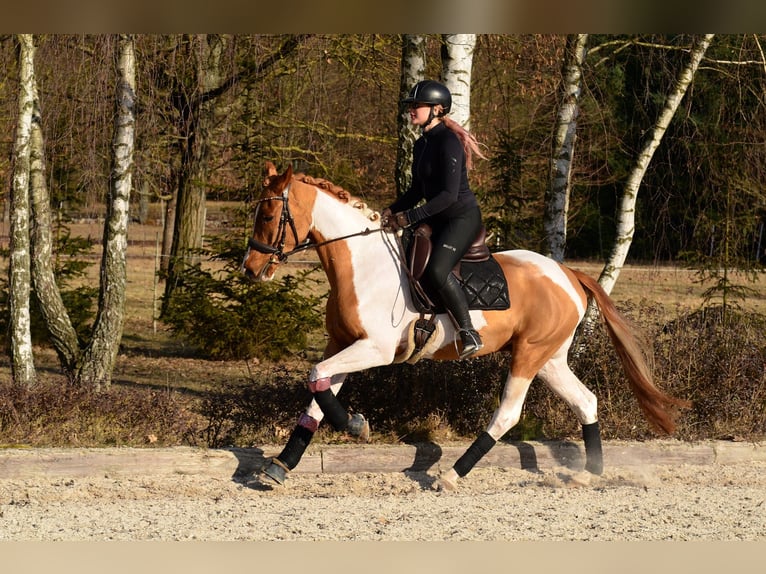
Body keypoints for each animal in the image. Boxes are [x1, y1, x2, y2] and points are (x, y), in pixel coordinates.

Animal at [241, 161, 689, 491]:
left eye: (269, 213)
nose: (250, 269)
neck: (361, 263)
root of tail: (569, 273)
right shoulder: (340, 344)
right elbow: (317, 391)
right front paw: (281, 465)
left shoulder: (374, 349)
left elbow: (315, 377)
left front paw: (356, 426)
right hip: (550, 358)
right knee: (586, 401)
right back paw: (588, 473)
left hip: (530, 355)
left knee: (508, 414)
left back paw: (453, 475)